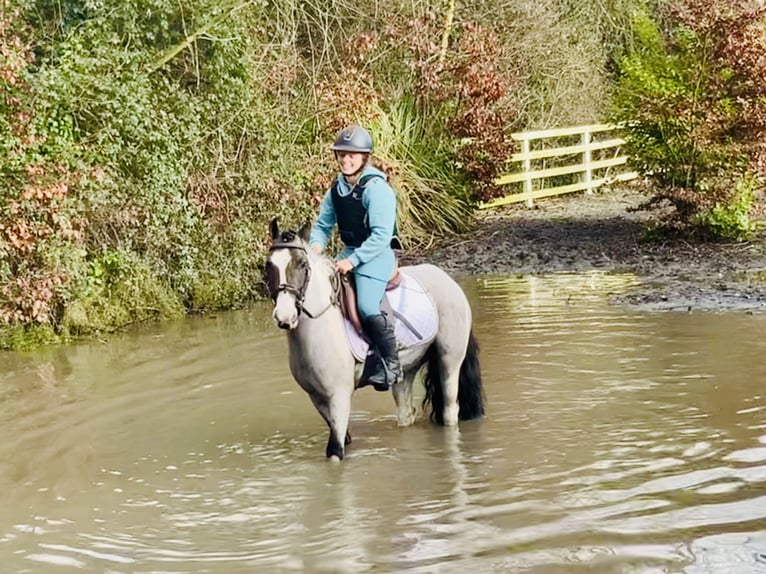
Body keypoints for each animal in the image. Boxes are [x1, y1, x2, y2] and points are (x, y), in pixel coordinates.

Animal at [264, 218, 486, 462]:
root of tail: (448, 280)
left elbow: (335, 452)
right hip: (406, 370)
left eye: (303, 264)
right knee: (406, 412)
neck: (320, 329)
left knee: (449, 409)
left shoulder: (339, 397)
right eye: (268, 266)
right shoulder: (317, 399)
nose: (284, 317)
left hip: (449, 360)